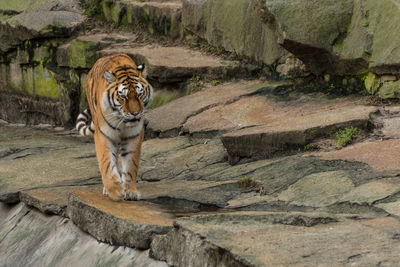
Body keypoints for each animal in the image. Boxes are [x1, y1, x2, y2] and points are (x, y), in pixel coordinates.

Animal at [75, 54, 152, 201]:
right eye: (123, 96)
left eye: (139, 94)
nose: (135, 113)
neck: (123, 122)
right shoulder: (104, 135)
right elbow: (106, 163)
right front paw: (115, 191)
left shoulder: (134, 135)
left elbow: (131, 164)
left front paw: (131, 191)